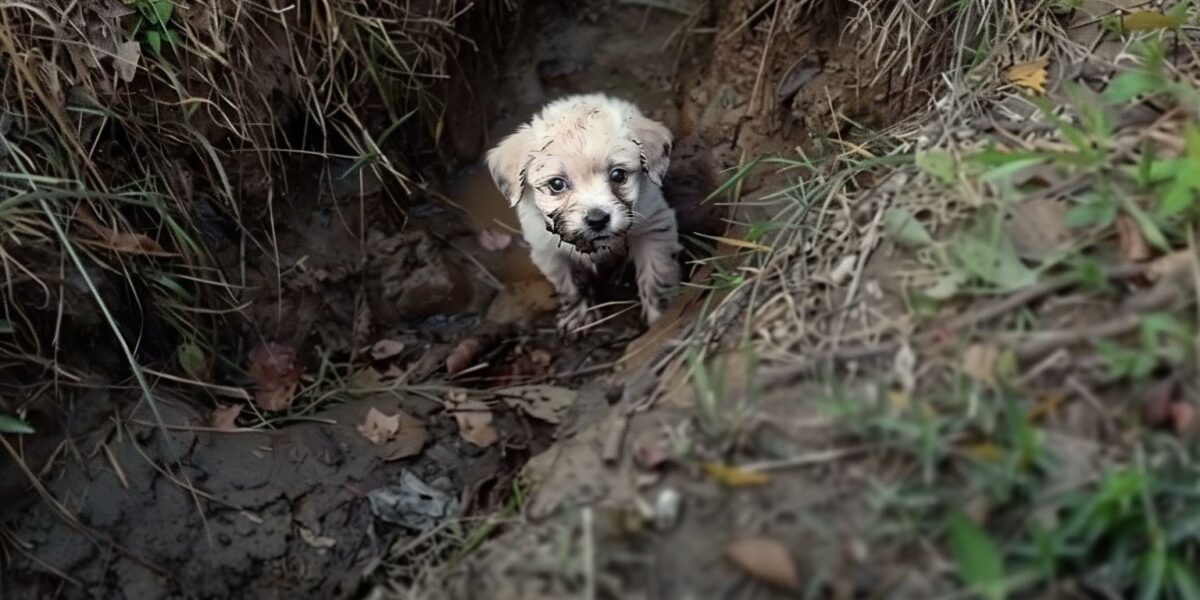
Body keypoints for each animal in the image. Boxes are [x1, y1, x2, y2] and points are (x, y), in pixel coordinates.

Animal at [482, 93, 681, 338]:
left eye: (618, 175)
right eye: (557, 184)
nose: (597, 220)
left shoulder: (653, 225)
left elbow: (656, 273)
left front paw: (660, 315)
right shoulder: (547, 249)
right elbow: (569, 285)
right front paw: (578, 316)